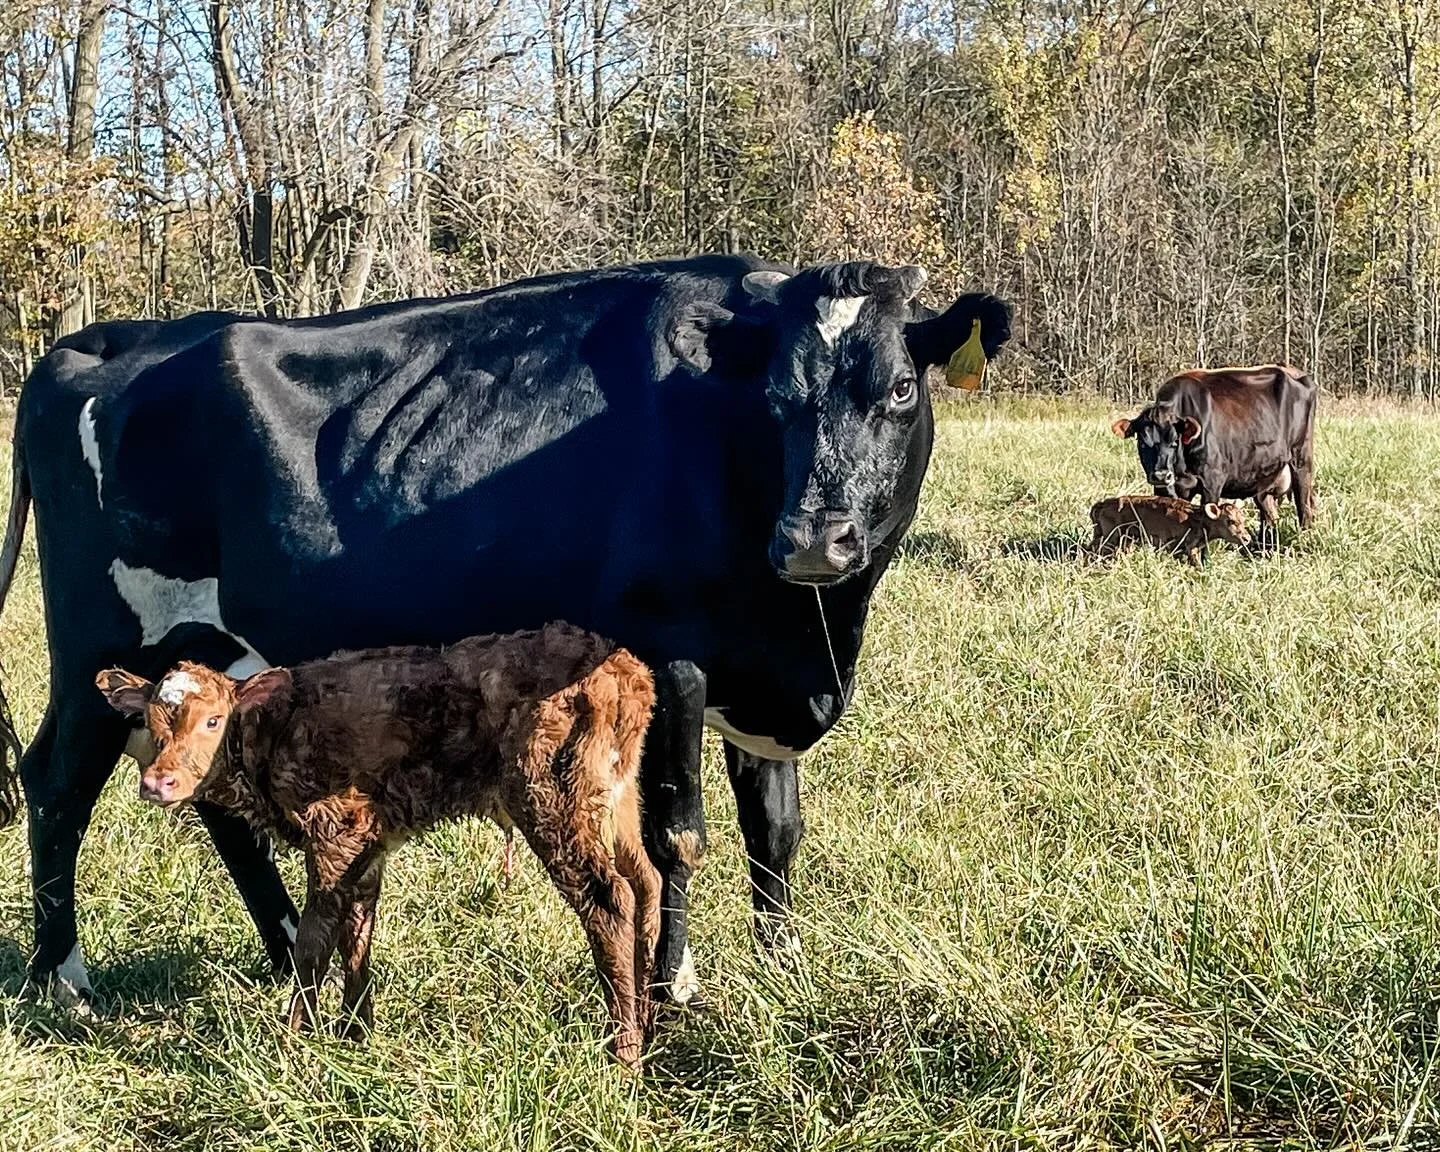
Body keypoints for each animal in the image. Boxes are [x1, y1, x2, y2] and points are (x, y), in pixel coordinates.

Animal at [0, 254, 1011, 1012]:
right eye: (777, 401)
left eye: (898, 392)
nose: (811, 537)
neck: (806, 632)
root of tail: (103, 338)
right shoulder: (670, 652)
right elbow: (677, 832)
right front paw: (673, 984)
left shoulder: (763, 674)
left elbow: (776, 828)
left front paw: (782, 968)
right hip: (98, 645)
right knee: (55, 782)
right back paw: (64, 981)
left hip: (206, 651)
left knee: (209, 792)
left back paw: (289, 951)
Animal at [1111, 365, 1316, 552]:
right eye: (1142, 442)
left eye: (1175, 441)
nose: (1161, 474)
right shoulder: (1164, 488)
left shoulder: (1212, 481)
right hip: (1263, 477)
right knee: (1269, 516)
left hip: (1301, 459)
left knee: (1304, 505)